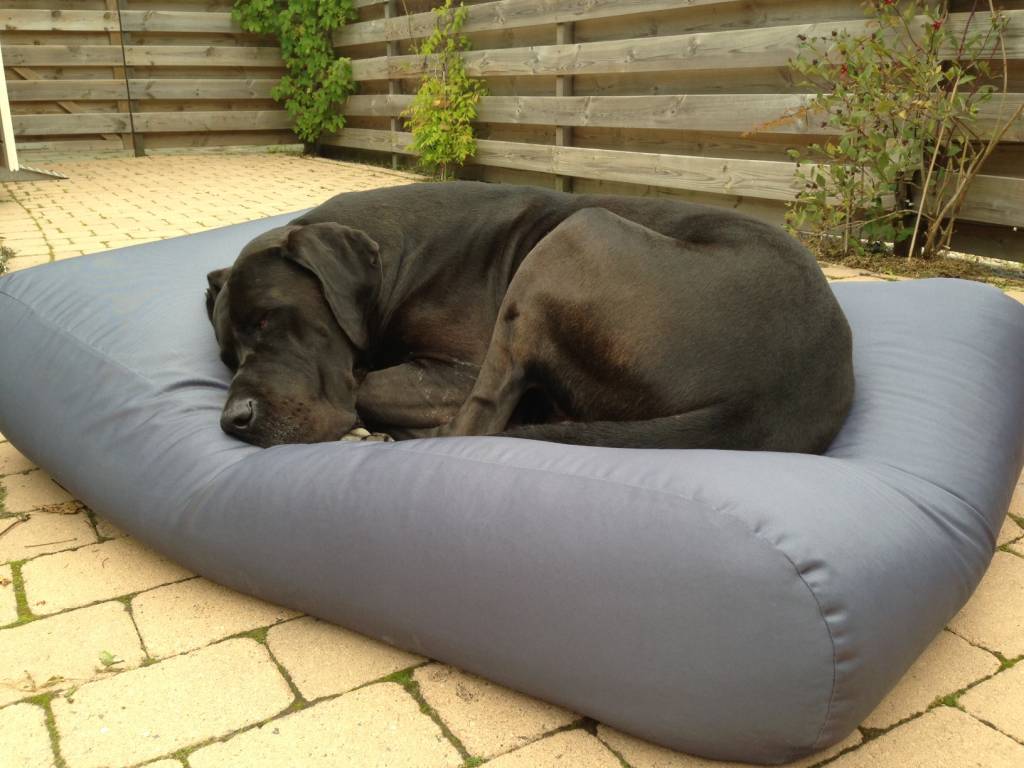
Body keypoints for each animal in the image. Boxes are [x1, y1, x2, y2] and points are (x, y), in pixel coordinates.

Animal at [203, 182, 851, 450]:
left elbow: (365, 385)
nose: (234, 419)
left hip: (575, 237)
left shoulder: (456, 370)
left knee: (475, 427)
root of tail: (775, 399)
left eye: (269, 320)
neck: (396, 257)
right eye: (226, 356)